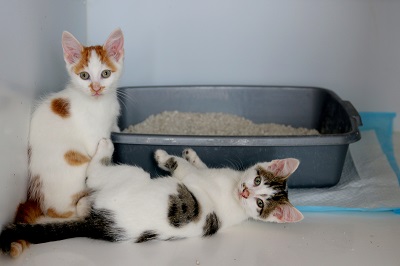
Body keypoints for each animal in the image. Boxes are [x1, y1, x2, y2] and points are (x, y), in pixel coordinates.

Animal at [0, 139, 304, 254]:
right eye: (257, 180)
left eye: (260, 203)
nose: (245, 191)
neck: (231, 186)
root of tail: (98, 225)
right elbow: (198, 164)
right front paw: (191, 153)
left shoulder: (190, 179)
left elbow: (178, 166)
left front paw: (162, 155)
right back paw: (84, 203)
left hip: (129, 175)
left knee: (93, 176)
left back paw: (105, 147)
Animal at [10, 28, 124, 256]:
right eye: (84, 75)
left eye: (106, 74)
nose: (96, 88)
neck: (99, 103)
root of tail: (36, 197)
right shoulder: (92, 137)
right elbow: (100, 151)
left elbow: (114, 128)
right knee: (69, 211)